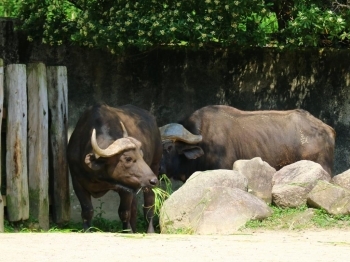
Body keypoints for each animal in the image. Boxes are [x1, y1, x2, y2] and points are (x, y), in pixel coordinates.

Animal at [67, 103, 162, 232]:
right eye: (128, 158)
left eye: (141, 155)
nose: (153, 180)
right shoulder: (77, 182)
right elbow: (87, 210)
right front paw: (87, 230)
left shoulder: (126, 187)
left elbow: (124, 212)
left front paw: (127, 231)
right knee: (134, 208)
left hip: (154, 166)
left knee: (149, 203)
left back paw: (149, 231)